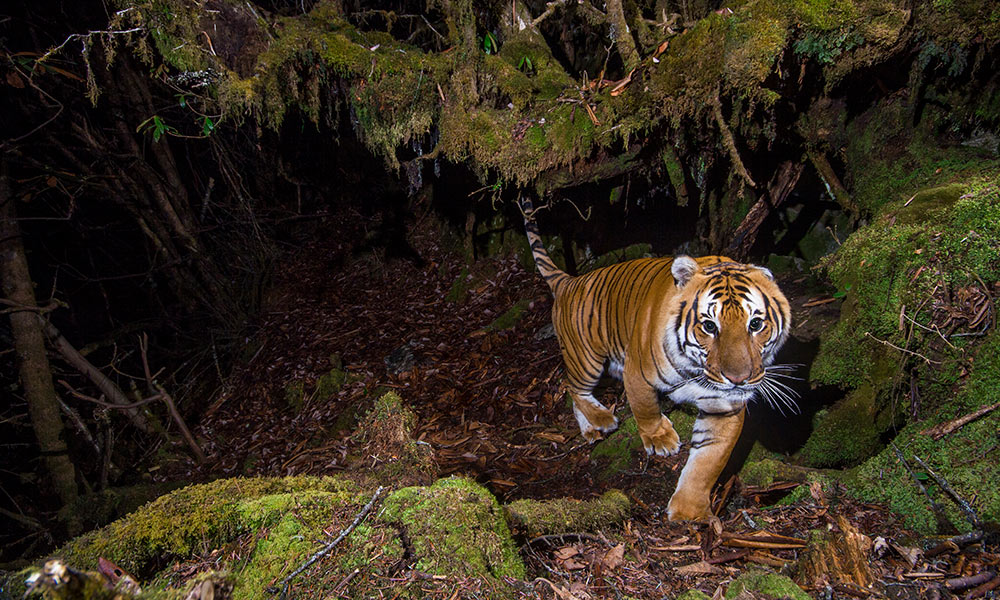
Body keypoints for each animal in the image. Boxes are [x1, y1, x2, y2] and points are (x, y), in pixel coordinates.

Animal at [520, 197, 792, 520]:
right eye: (709, 326)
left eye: (756, 324)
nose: (738, 379)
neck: (697, 370)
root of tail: (568, 281)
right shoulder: (638, 373)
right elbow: (645, 408)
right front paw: (661, 440)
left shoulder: (725, 405)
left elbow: (709, 460)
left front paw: (688, 512)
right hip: (587, 359)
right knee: (571, 386)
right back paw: (602, 418)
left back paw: (591, 429)